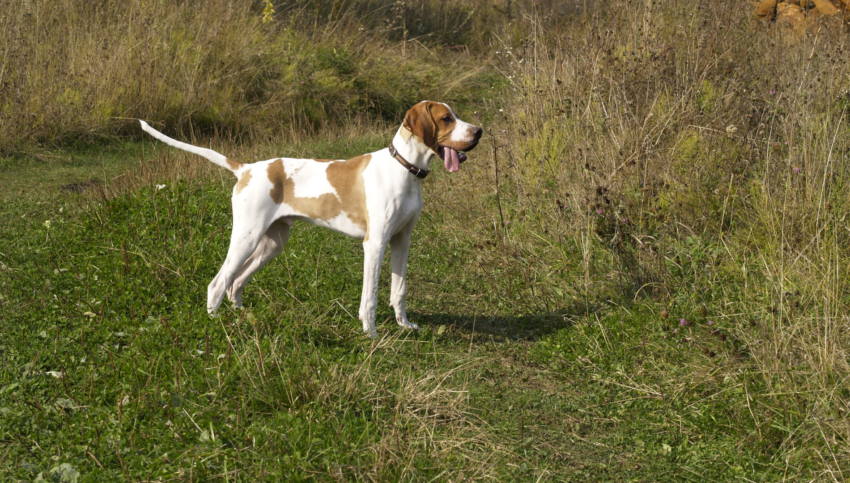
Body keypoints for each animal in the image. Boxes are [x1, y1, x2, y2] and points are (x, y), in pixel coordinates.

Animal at [142, 100, 480, 338]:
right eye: (446, 118)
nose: (478, 131)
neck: (404, 170)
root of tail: (247, 168)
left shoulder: (401, 241)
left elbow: (400, 290)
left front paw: (404, 325)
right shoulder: (375, 244)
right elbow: (369, 297)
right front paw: (370, 334)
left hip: (273, 242)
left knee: (236, 281)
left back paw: (239, 315)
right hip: (246, 237)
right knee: (217, 283)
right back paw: (216, 323)